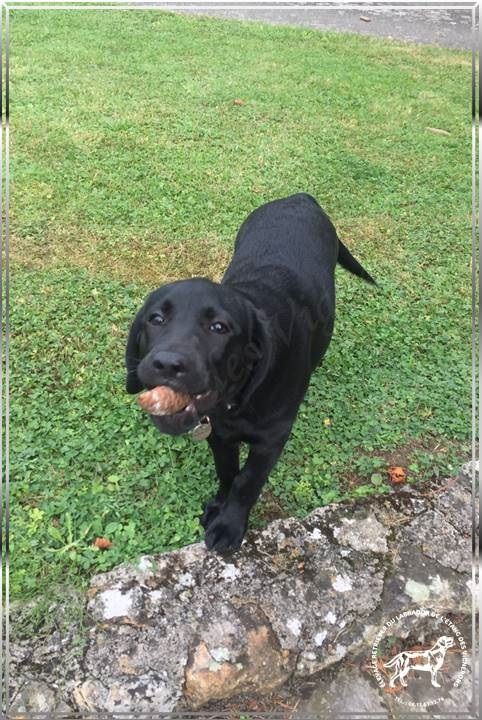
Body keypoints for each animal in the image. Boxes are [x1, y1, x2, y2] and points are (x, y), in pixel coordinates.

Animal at [126, 191, 374, 552]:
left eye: (219, 327)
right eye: (156, 319)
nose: (168, 364)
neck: (237, 399)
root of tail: (300, 197)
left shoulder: (272, 439)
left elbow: (247, 481)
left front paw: (229, 525)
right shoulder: (218, 432)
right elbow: (227, 471)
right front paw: (219, 505)